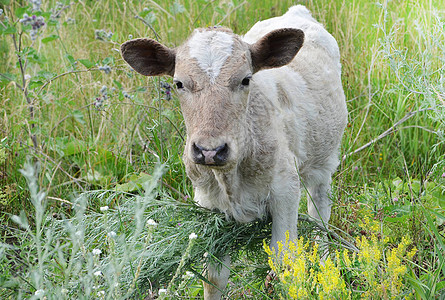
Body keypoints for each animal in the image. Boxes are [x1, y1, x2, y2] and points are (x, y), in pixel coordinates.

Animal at [121, 5, 346, 300]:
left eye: (245, 79)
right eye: (179, 83)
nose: (210, 151)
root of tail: (296, 12)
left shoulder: (286, 190)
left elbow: (283, 261)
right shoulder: (209, 205)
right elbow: (214, 276)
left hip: (323, 162)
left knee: (319, 216)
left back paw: (326, 265)